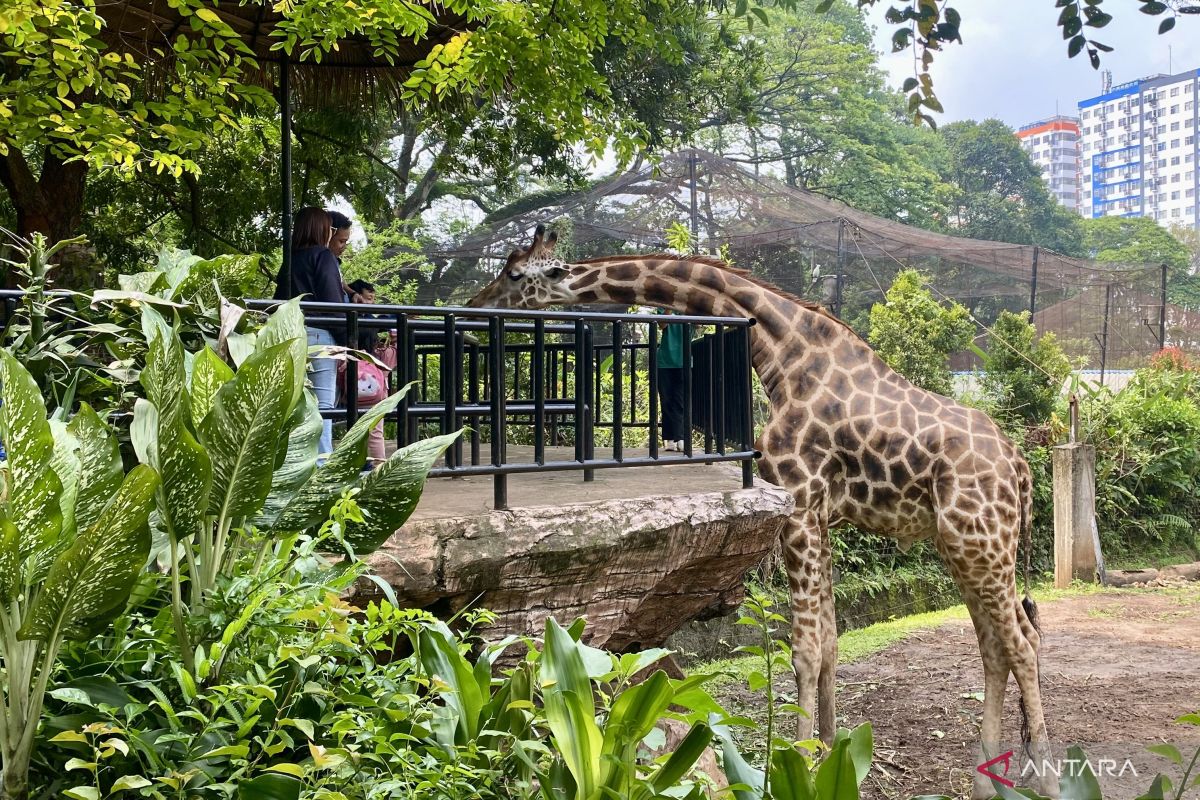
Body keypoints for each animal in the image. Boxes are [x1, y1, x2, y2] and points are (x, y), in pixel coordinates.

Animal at [463, 226, 1056, 800]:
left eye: (513, 274)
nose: (472, 307)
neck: (784, 355)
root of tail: (1020, 467)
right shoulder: (821, 516)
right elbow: (830, 644)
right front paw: (829, 755)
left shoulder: (798, 503)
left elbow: (806, 650)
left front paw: (796, 767)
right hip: (964, 545)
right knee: (995, 647)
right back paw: (984, 781)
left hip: (979, 542)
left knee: (1023, 644)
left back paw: (1047, 778)